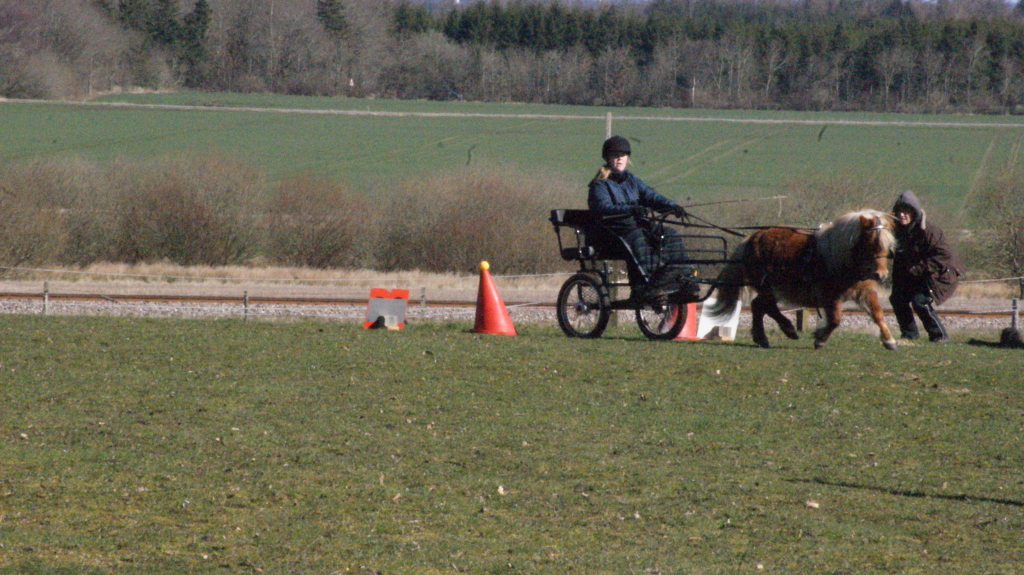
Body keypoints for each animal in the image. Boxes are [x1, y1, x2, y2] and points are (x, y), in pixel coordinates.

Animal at [708, 207, 892, 347]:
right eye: (871, 243)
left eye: (887, 245)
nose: (881, 274)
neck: (839, 257)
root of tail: (751, 238)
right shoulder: (830, 296)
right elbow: (835, 320)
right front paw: (820, 339)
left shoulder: (866, 291)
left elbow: (877, 313)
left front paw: (889, 340)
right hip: (768, 286)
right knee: (763, 306)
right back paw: (784, 331)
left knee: (760, 306)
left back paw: (765, 337)